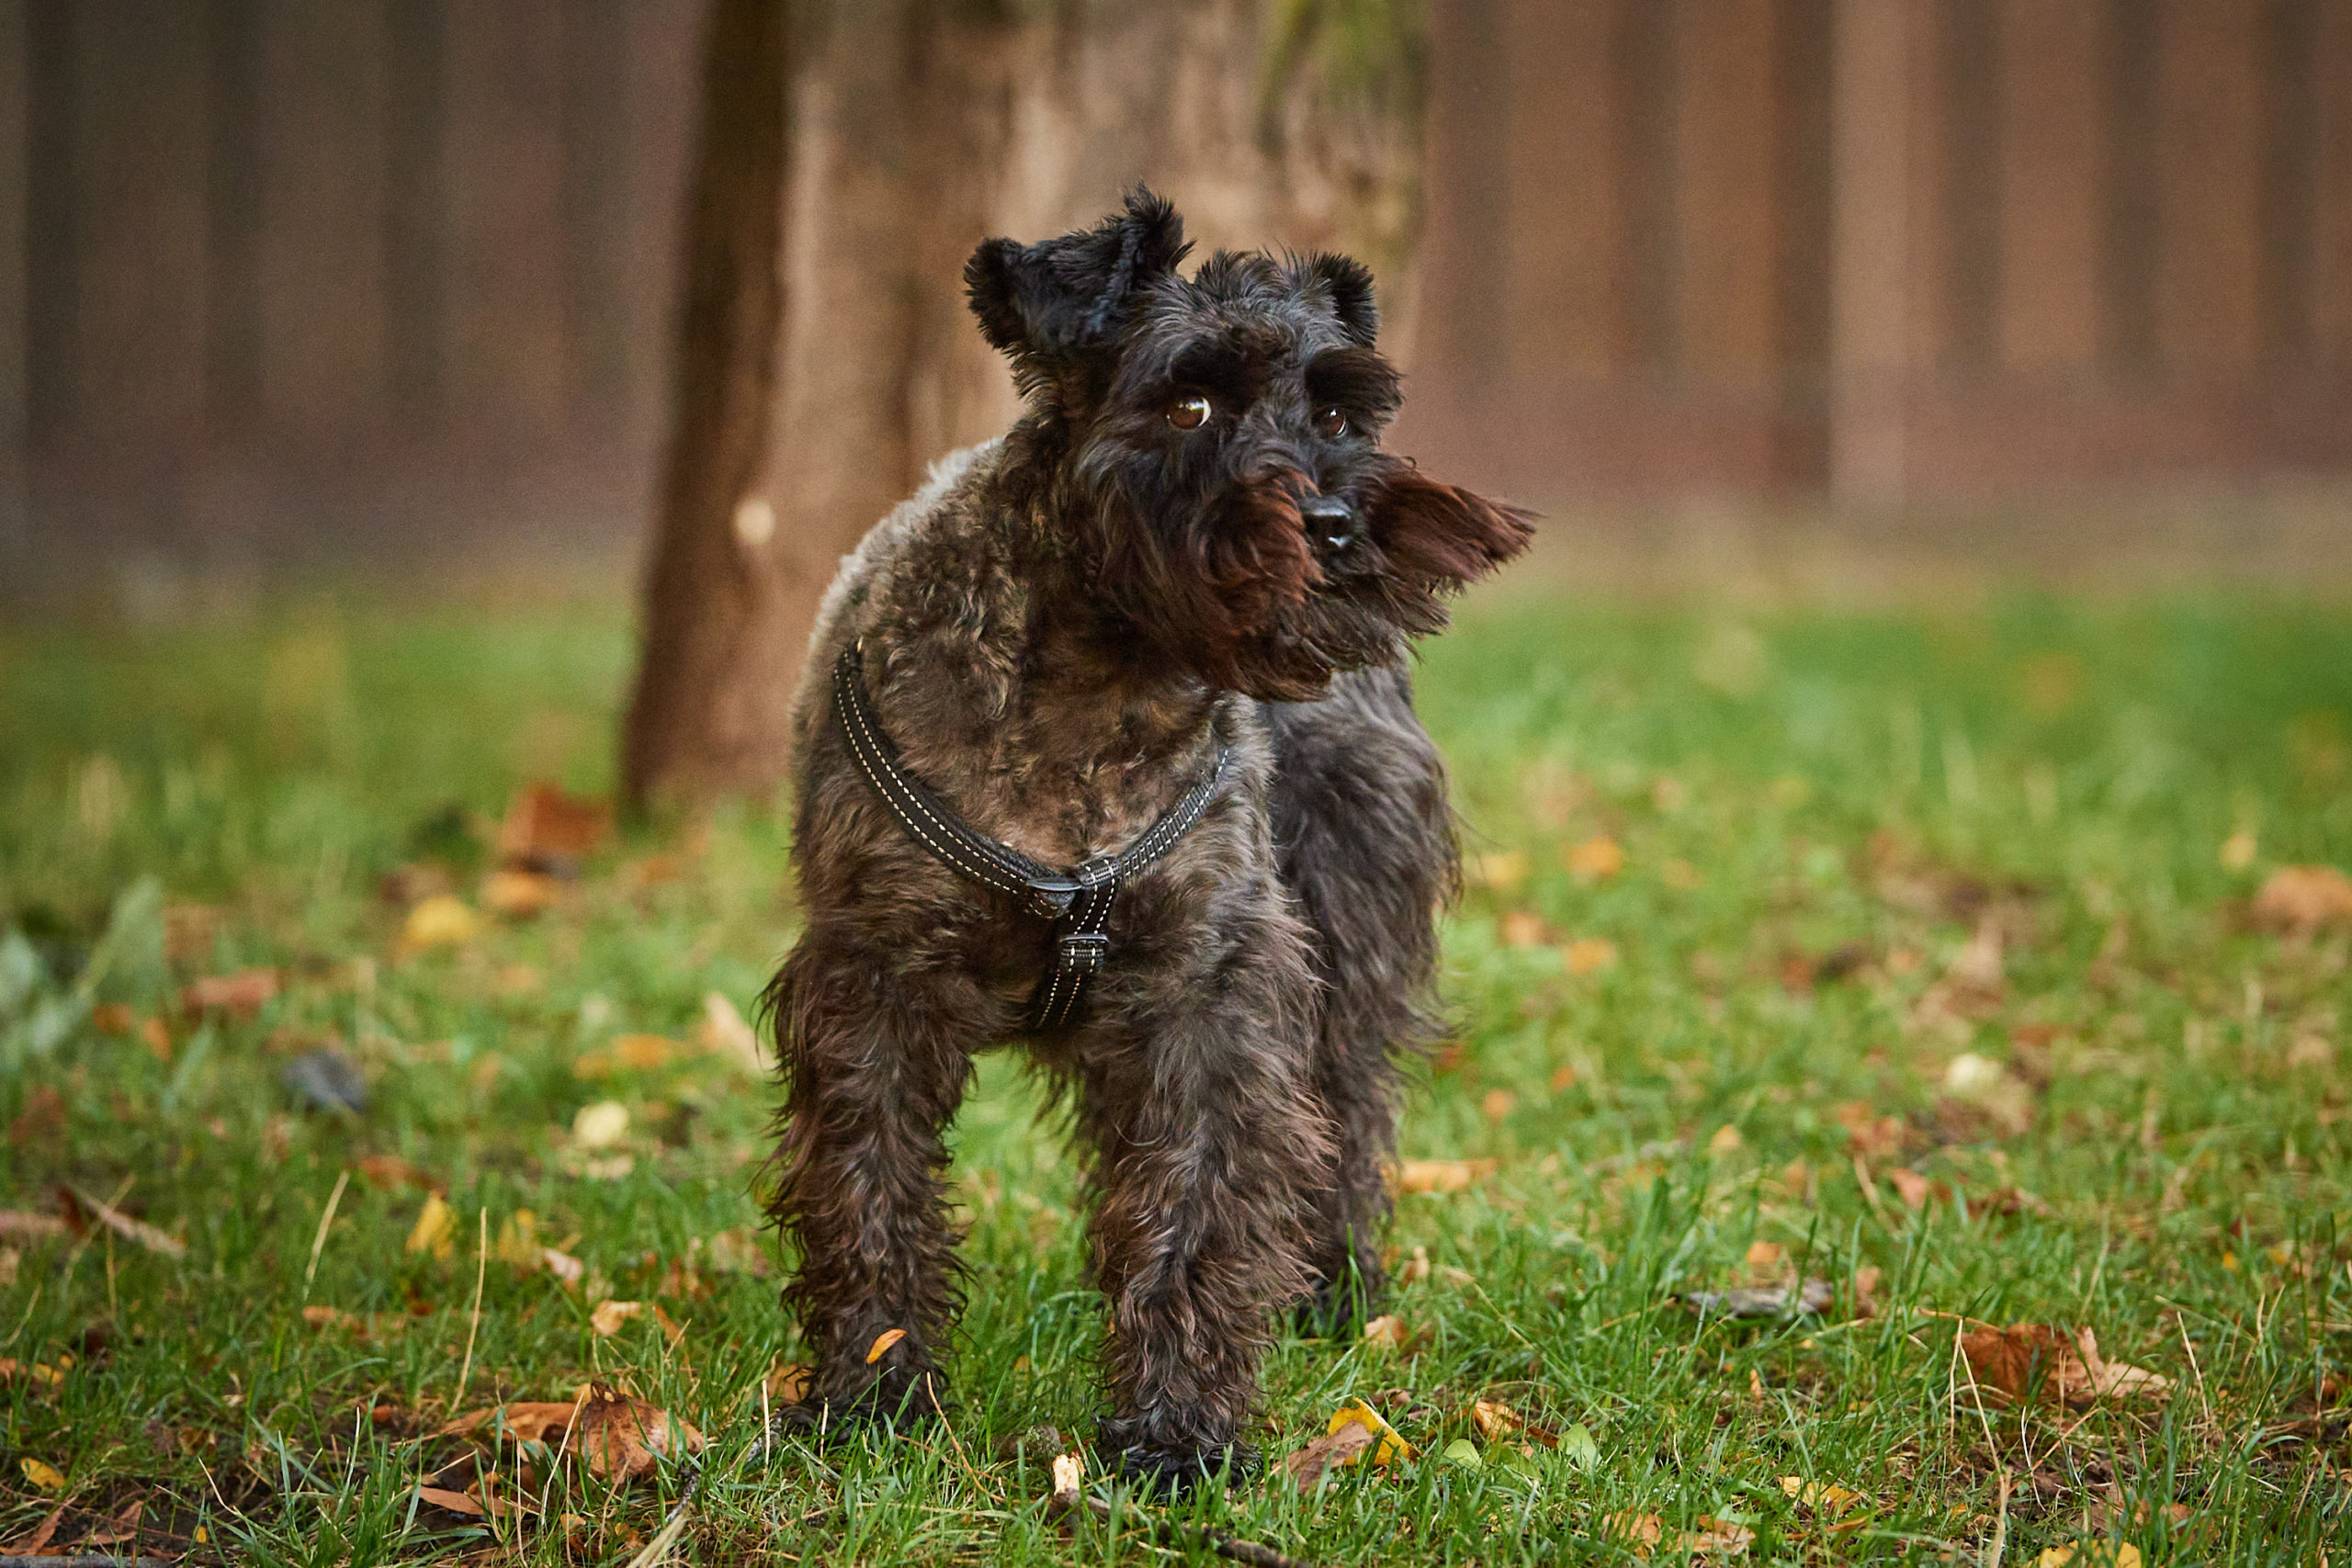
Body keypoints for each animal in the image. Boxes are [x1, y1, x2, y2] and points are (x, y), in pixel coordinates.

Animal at [762, 190, 1533, 1495]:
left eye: (1337, 412)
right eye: (1189, 404)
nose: (1337, 522)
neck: (1097, 687)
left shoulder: (1210, 993)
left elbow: (1199, 1207)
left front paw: (1177, 1434)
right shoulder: (877, 982)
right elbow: (869, 1190)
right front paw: (872, 1395)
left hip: (1345, 938)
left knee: (1343, 1117)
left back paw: (1329, 1291)